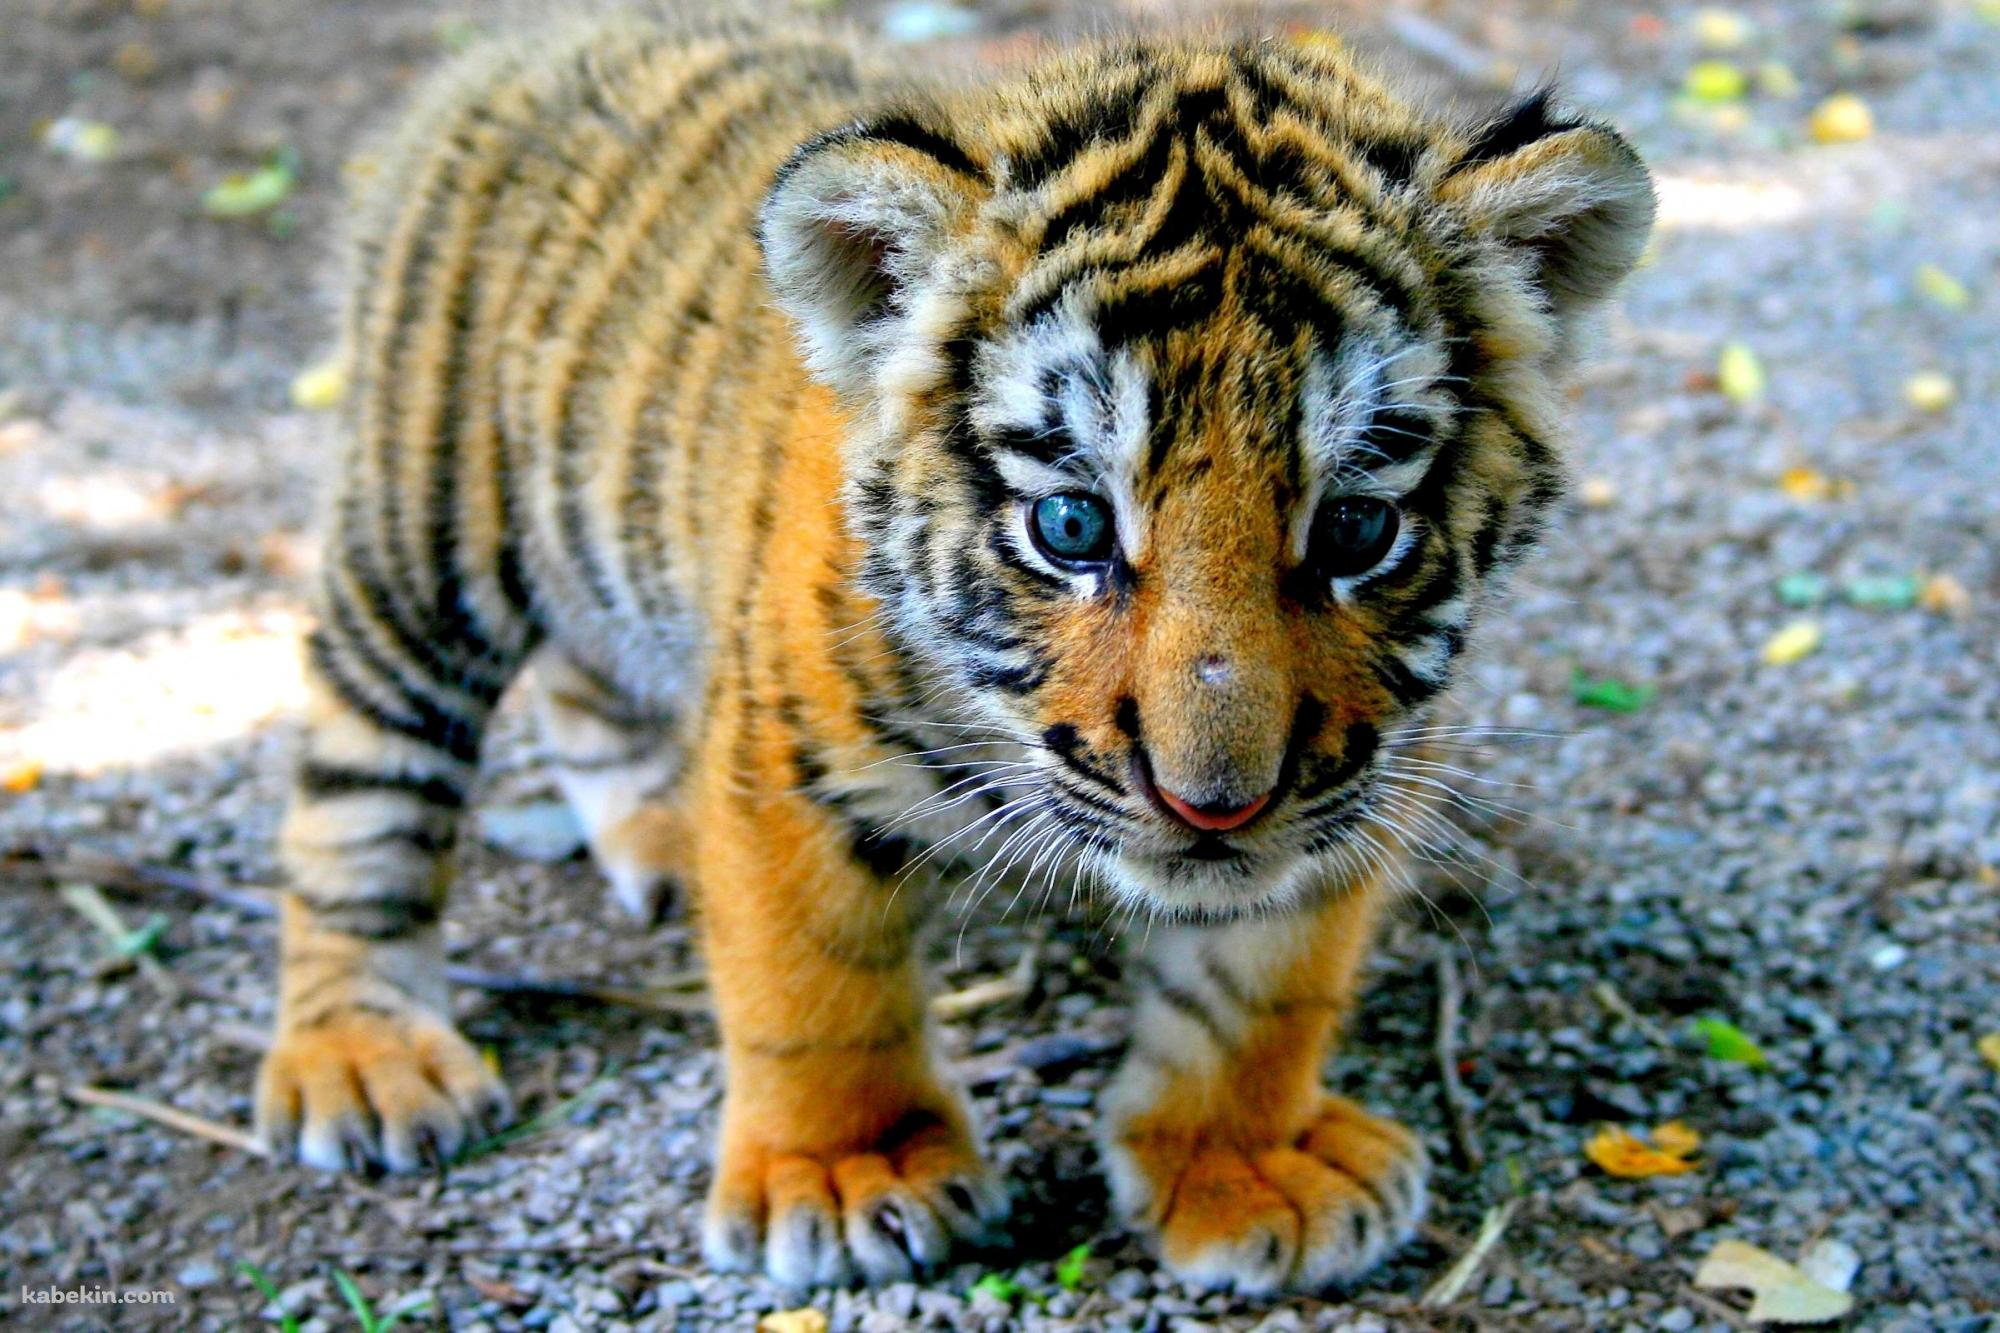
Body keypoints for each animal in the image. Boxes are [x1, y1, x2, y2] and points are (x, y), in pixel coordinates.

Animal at [253, 8, 1653, 1296]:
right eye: (1070, 525)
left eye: (1357, 528)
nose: (1213, 805)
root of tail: (538, 40)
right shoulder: (786, 754)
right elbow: (814, 983)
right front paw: (845, 1172)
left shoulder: (1357, 773)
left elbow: (1260, 986)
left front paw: (1243, 1161)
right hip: (422, 539)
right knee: (358, 790)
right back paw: (363, 1055)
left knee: (587, 686)